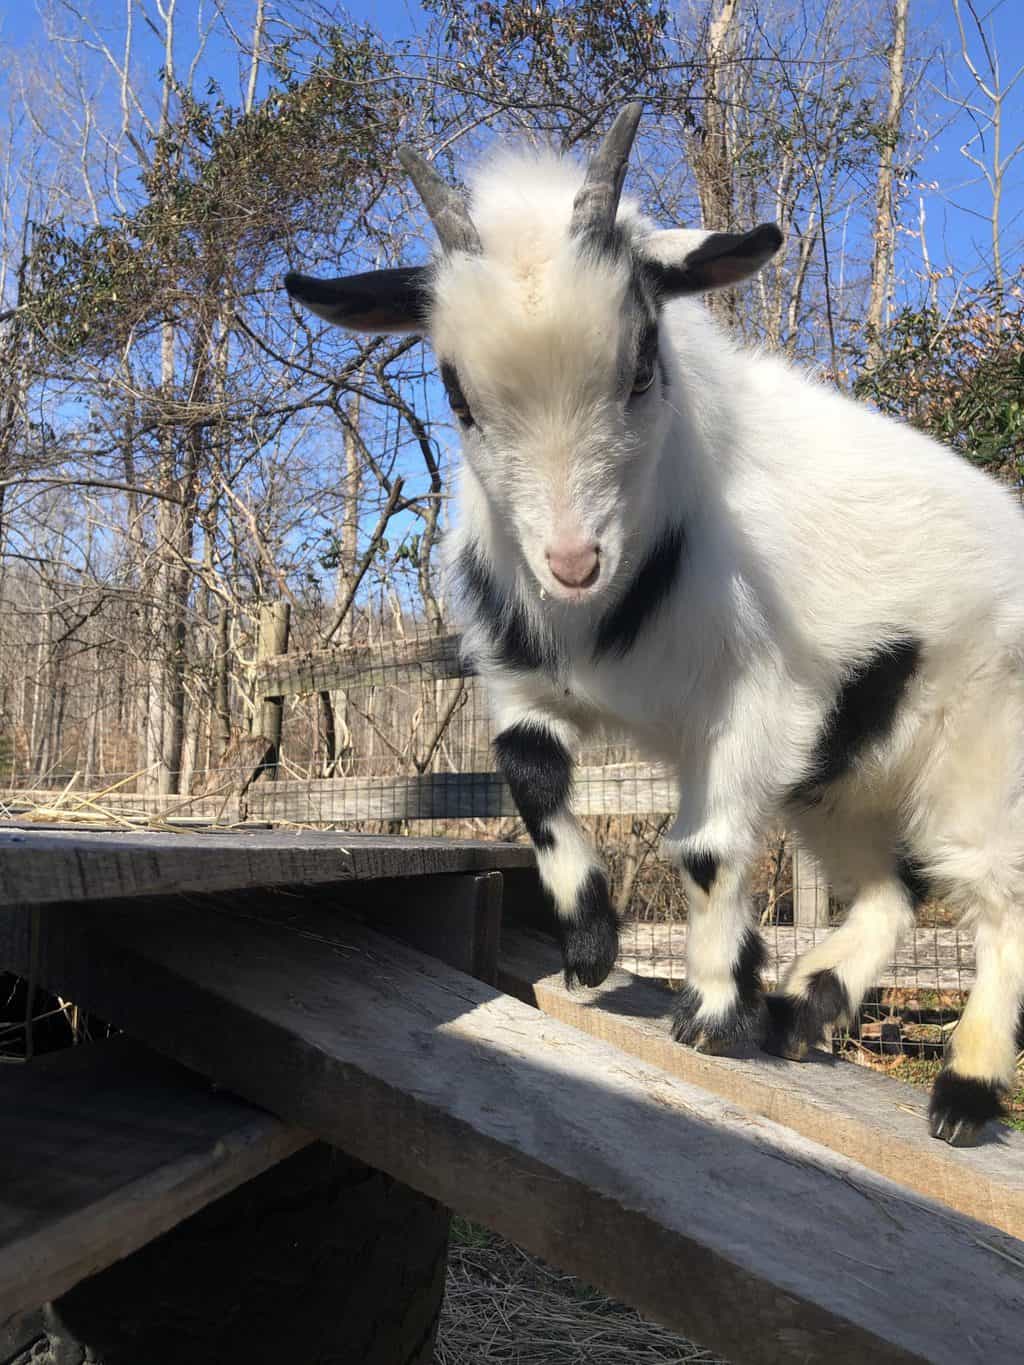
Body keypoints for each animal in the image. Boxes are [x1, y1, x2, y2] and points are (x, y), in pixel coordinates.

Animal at [286, 105, 1024, 1146]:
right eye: (458, 392)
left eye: (641, 365)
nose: (571, 562)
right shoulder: (524, 677)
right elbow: (528, 770)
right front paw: (593, 946)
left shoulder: (753, 705)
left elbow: (707, 849)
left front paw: (711, 1010)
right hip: (843, 771)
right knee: (890, 890)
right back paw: (808, 1004)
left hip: (979, 751)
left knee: (999, 902)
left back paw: (962, 1089)